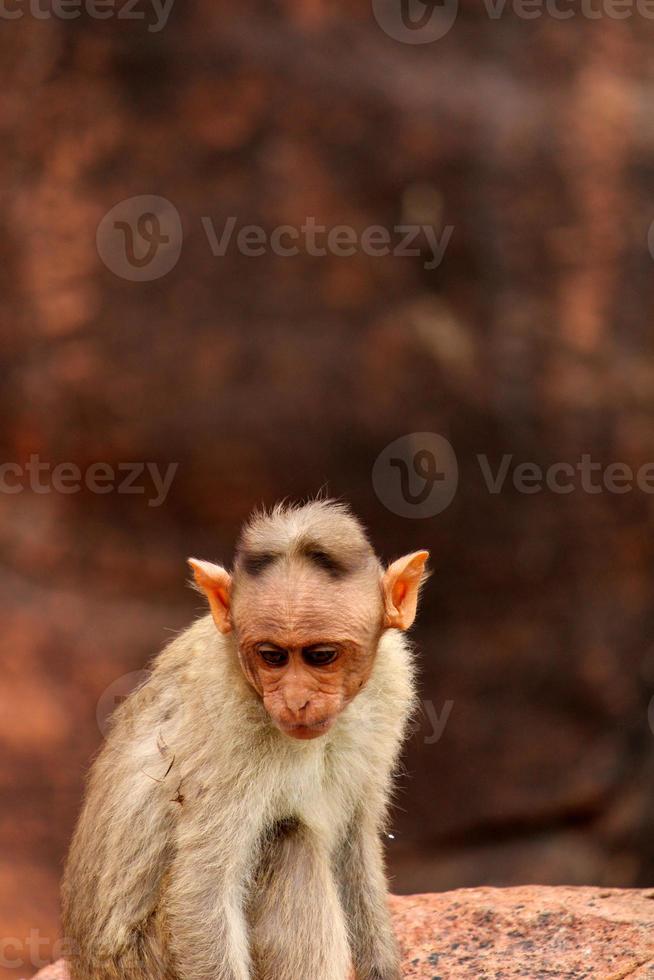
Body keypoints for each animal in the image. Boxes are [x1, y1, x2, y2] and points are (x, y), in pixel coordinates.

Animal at [61, 502, 430, 976]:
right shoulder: (226, 728)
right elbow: (202, 892)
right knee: (289, 841)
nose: (295, 701)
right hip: (145, 962)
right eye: (271, 656)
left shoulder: (391, 683)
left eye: (321, 656)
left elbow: (355, 842)